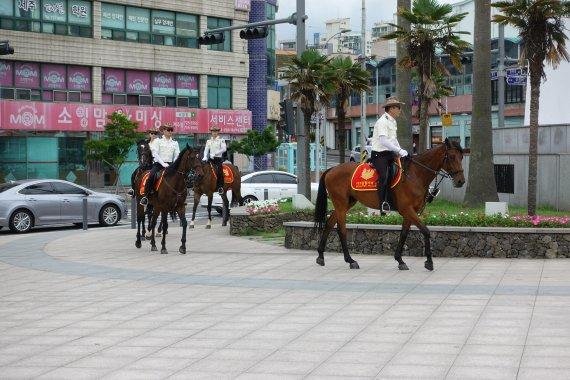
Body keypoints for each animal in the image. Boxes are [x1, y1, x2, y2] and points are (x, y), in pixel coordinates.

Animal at [312, 139, 464, 270]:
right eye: (451, 157)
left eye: (461, 157)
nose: (461, 181)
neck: (415, 174)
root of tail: (331, 169)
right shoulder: (407, 210)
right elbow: (425, 231)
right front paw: (429, 262)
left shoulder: (410, 212)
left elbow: (404, 234)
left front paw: (400, 260)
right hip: (341, 205)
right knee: (341, 229)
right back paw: (350, 260)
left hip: (346, 204)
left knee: (329, 224)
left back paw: (321, 256)